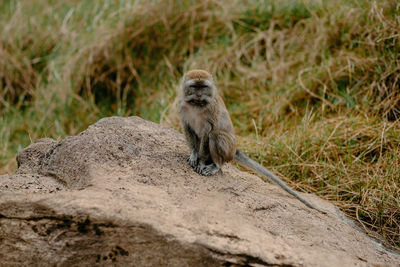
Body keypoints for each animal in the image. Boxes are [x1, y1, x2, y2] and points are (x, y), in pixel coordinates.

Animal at [180, 69, 326, 216]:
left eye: (203, 87)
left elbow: (208, 132)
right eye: (195, 86)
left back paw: (216, 165)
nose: (199, 95)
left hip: (228, 149)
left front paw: (201, 162)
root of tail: (234, 151)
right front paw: (194, 155)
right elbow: (188, 128)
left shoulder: (211, 110)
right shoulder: (182, 107)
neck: (197, 105)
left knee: (216, 135)